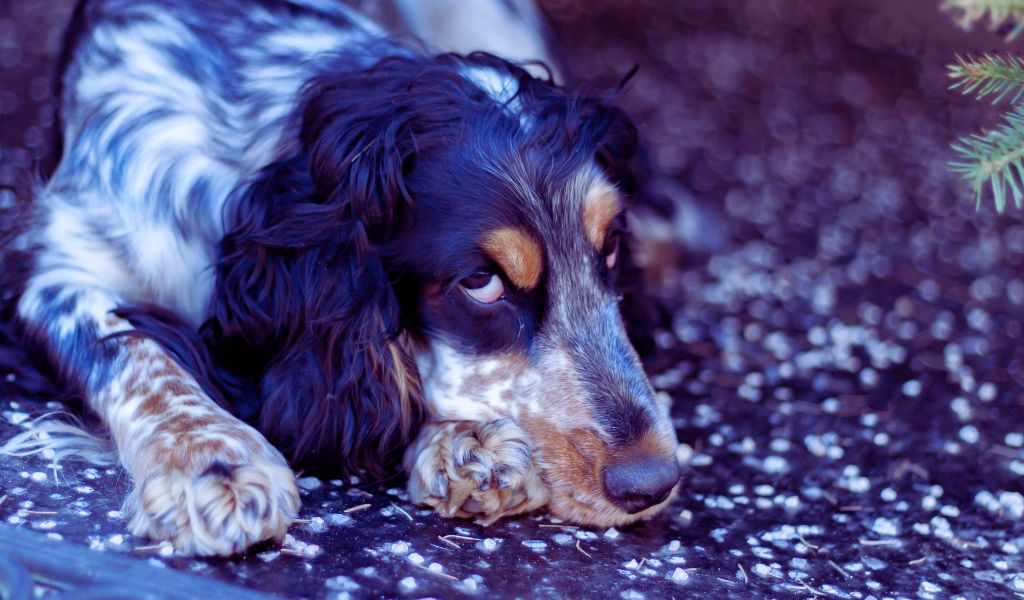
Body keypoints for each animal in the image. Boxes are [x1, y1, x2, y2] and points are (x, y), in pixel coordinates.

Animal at [6, 0, 679, 556]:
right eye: (480, 282)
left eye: (609, 247)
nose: (654, 482)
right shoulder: (56, 272)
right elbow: (134, 354)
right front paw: (213, 462)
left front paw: (465, 443)